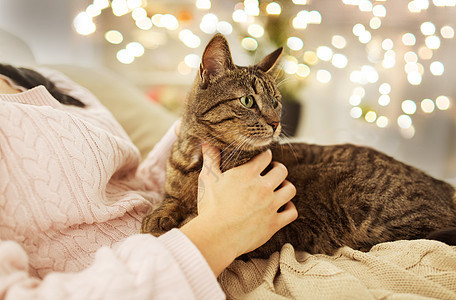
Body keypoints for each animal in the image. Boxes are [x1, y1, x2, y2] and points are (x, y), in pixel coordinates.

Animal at [141, 34, 454, 258]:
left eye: (275, 101)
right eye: (247, 101)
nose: (276, 122)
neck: (197, 158)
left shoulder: (270, 235)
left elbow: (193, 221)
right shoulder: (172, 186)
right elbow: (170, 199)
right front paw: (159, 216)